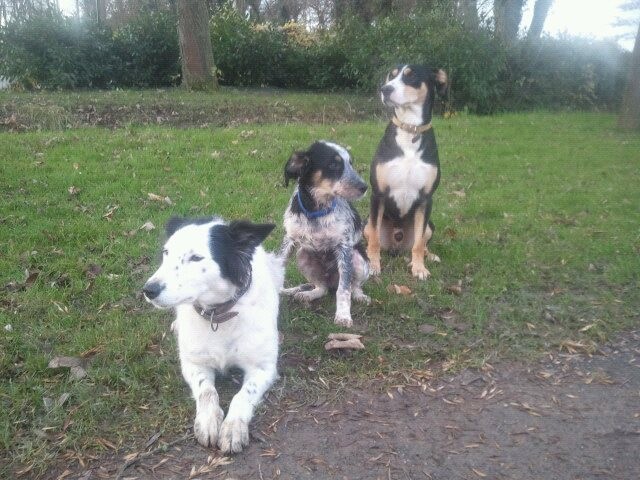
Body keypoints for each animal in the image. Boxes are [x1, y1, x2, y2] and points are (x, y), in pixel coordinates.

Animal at [142, 216, 283, 453]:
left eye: (196, 257)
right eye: (166, 252)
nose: (148, 290)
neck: (218, 316)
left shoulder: (263, 368)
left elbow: (243, 395)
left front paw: (233, 427)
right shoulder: (194, 363)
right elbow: (207, 391)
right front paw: (208, 421)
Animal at [280, 141, 370, 328]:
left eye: (351, 163)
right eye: (333, 165)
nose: (365, 187)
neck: (315, 210)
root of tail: (331, 281)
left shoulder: (344, 247)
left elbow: (344, 290)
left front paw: (343, 316)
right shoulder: (289, 239)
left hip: (358, 259)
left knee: (353, 286)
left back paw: (359, 296)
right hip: (303, 255)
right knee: (321, 288)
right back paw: (307, 294)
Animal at [364, 64, 448, 280]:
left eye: (412, 76)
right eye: (391, 76)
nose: (385, 89)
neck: (410, 130)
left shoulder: (426, 199)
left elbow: (418, 243)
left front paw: (419, 268)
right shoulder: (378, 194)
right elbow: (374, 239)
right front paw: (373, 265)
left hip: (429, 225)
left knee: (422, 242)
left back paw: (429, 256)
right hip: (366, 223)